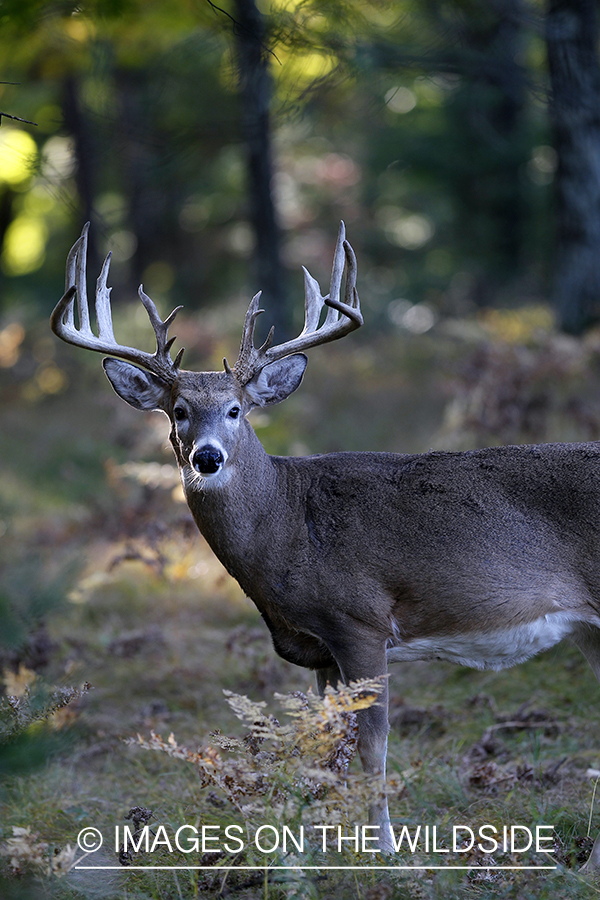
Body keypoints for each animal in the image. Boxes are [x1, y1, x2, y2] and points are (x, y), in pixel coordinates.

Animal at [49, 218, 600, 864]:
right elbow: (325, 745)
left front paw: (383, 852)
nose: (207, 458)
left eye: (236, 409)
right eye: (178, 410)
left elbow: (371, 745)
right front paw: (323, 845)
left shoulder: (361, 622)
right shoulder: (319, 649)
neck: (290, 530)